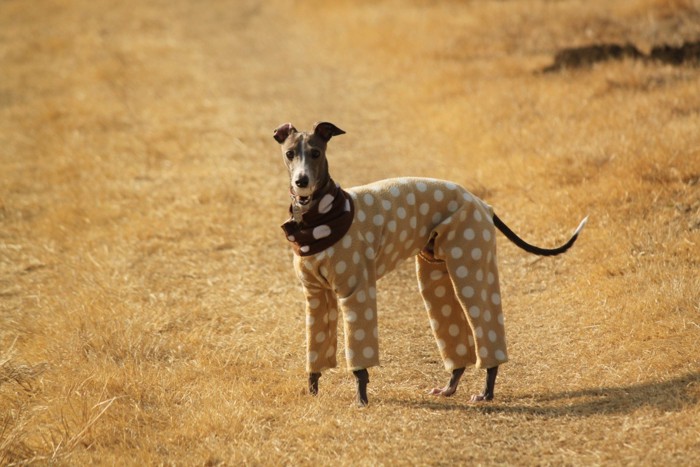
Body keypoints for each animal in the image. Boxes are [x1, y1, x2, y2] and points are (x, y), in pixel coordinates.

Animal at [274, 120, 584, 406]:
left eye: (316, 152)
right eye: (290, 153)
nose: (301, 181)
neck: (317, 218)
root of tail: (482, 204)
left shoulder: (357, 291)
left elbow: (360, 361)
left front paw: (361, 399)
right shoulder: (316, 296)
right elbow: (315, 353)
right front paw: (313, 393)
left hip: (471, 264)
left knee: (486, 329)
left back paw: (486, 393)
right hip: (436, 274)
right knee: (454, 335)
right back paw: (449, 388)